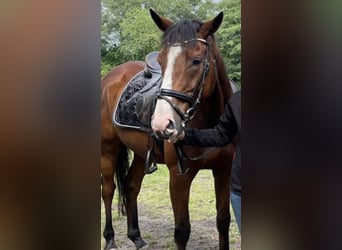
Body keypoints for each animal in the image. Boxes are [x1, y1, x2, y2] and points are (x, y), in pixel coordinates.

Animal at [101, 8, 235, 250]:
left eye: (196, 61)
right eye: (161, 61)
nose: (162, 124)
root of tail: (109, 77)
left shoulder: (224, 170)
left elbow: (223, 221)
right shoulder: (179, 177)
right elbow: (182, 231)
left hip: (140, 153)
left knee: (131, 186)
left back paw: (136, 237)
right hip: (108, 149)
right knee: (108, 190)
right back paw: (110, 239)